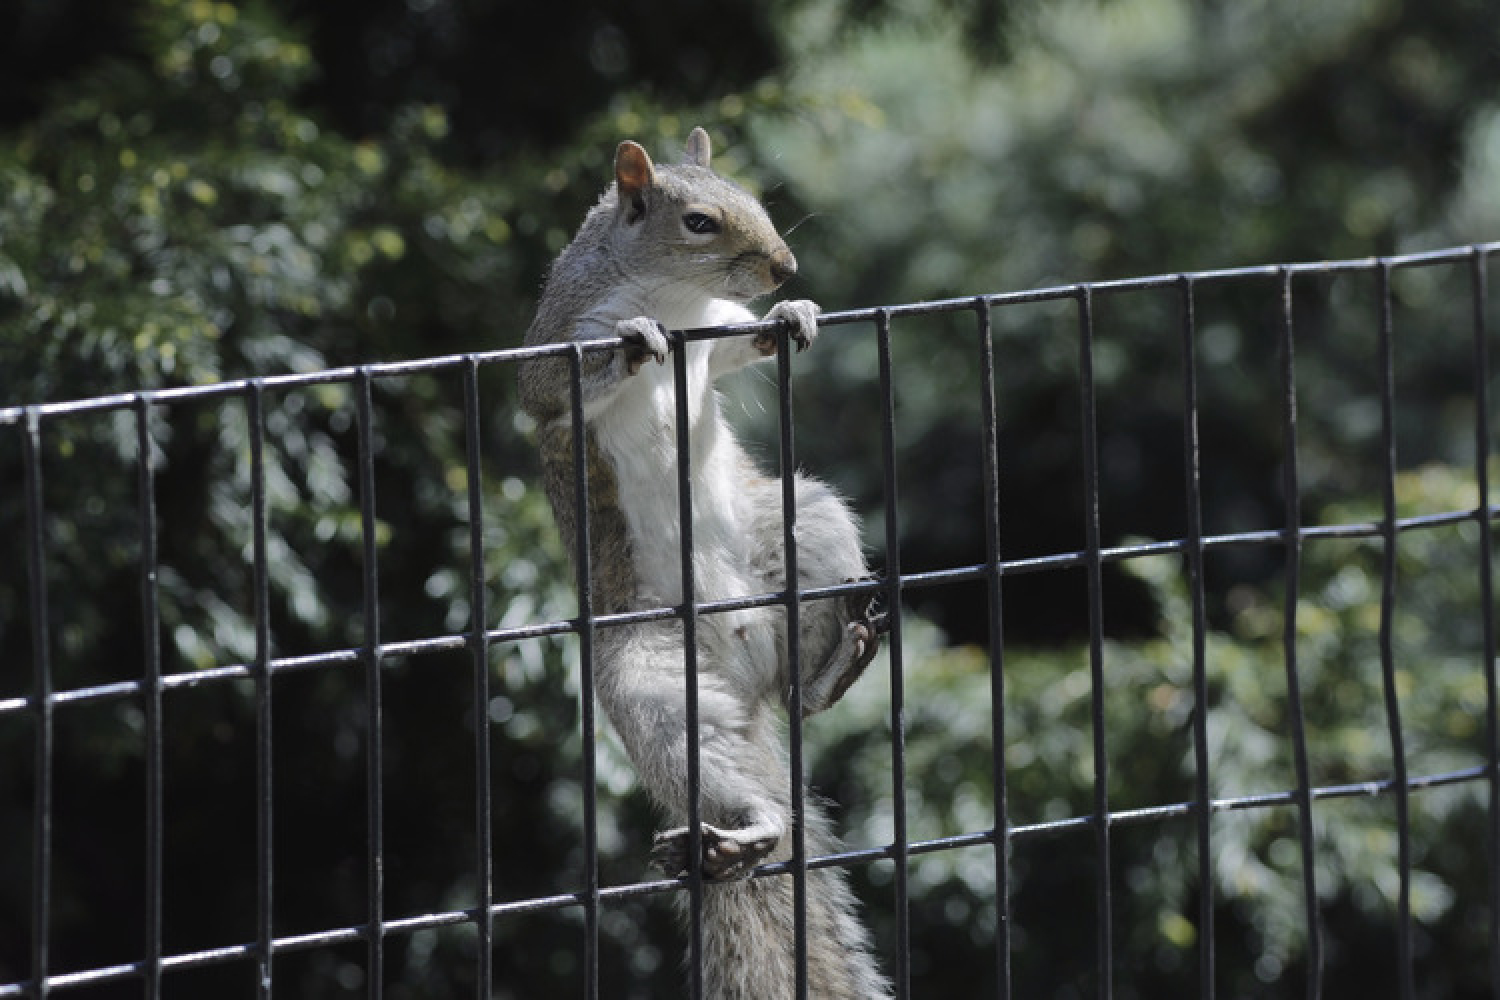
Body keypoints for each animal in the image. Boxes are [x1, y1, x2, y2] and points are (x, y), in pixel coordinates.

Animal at [516, 127, 888, 1000]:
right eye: (697, 222)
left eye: (752, 197)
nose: (786, 267)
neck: (679, 299)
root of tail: (741, 681)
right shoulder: (554, 348)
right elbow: (553, 387)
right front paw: (635, 343)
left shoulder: (713, 336)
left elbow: (733, 349)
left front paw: (789, 314)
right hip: (657, 689)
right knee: (734, 782)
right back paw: (743, 836)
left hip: (807, 528)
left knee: (801, 697)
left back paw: (836, 668)